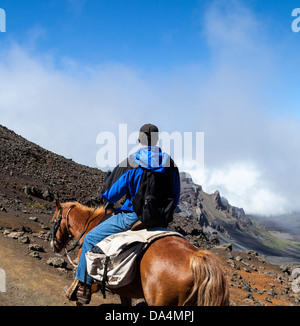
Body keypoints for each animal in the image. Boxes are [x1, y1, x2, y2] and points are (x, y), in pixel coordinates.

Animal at [49, 199, 230, 306]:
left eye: (53, 221)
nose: (53, 244)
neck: (90, 226)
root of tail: (195, 257)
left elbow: (81, 292)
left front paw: (74, 293)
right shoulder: (124, 290)